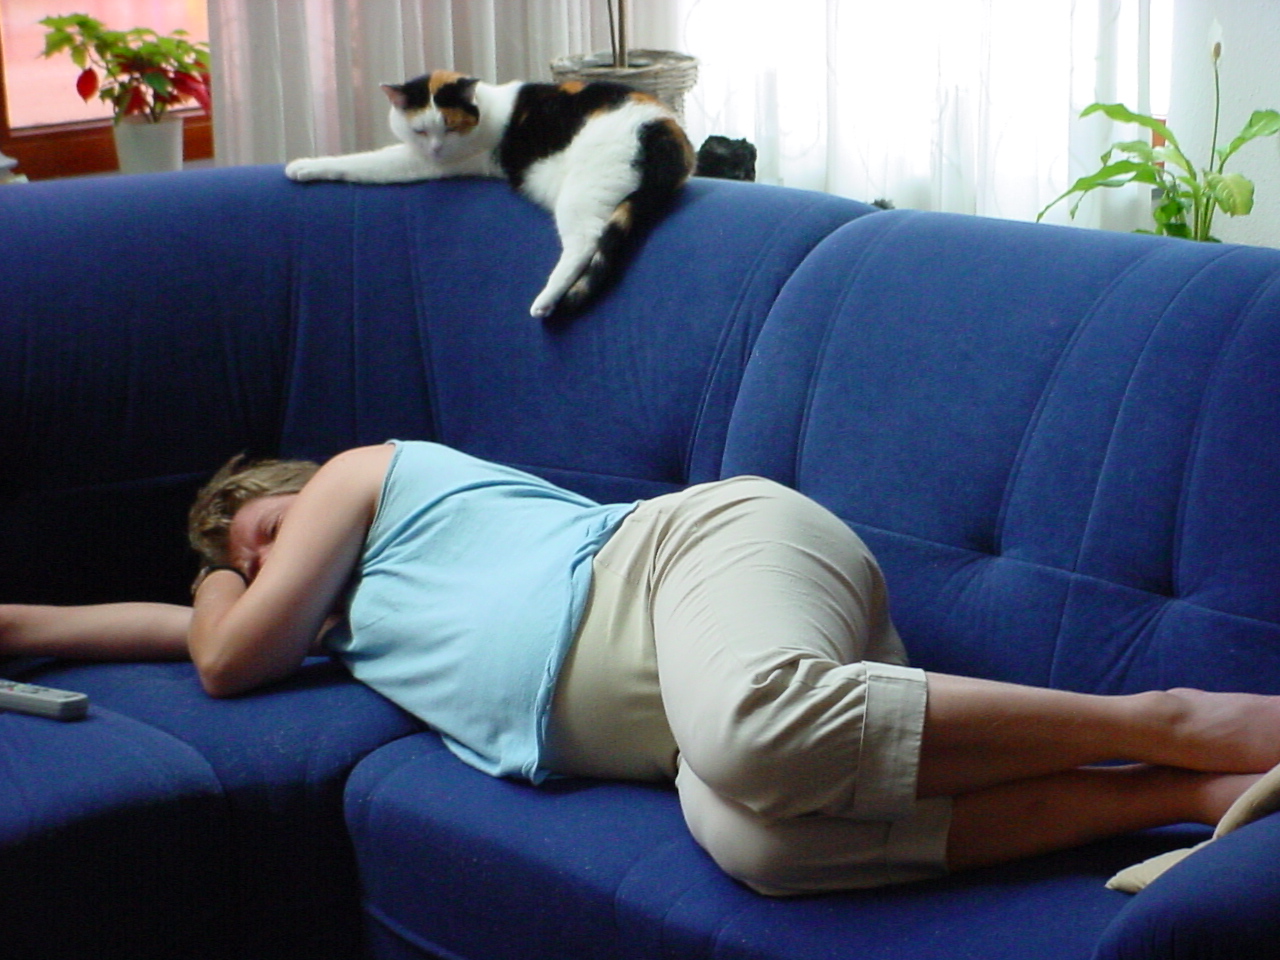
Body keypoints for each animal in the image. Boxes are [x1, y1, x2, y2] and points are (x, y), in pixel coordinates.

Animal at [285, 70, 695, 320]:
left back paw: (544, 301)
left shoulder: (424, 163)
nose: (436, 149)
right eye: (420, 130)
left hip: (583, 191)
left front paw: (303, 166)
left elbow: (364, 162)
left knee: (587, 241)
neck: (485, 107)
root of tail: (667, 128)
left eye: (450, 127)